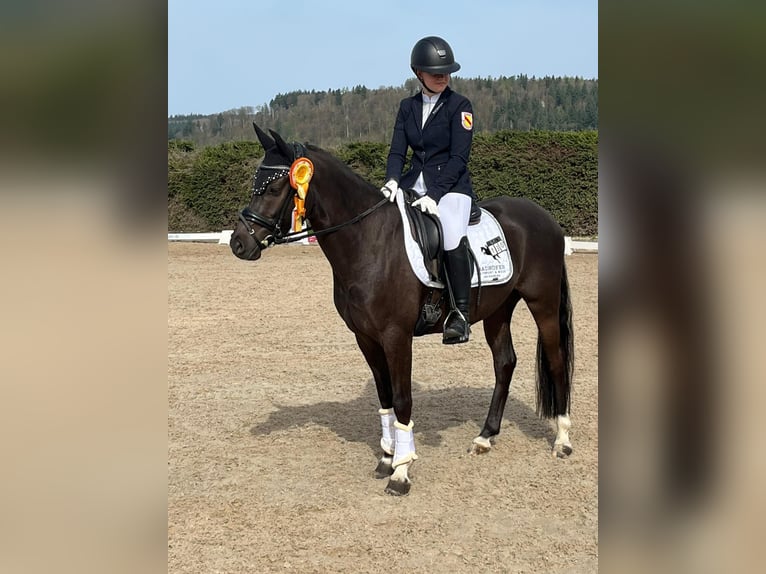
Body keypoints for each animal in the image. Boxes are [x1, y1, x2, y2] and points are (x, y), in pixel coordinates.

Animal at [231, 125, 572, 496]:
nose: (239, 244)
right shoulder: (365, 337)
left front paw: (402, 472)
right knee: (505, 363)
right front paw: (386, 458)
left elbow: (403, 398)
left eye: (274, 187)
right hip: (497, 310)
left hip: (543, 304)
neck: (368, 239)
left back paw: (562, 440)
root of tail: (545, 218)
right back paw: (484, 437)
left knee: (556, 360)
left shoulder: (397, 335)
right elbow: (385, 397)